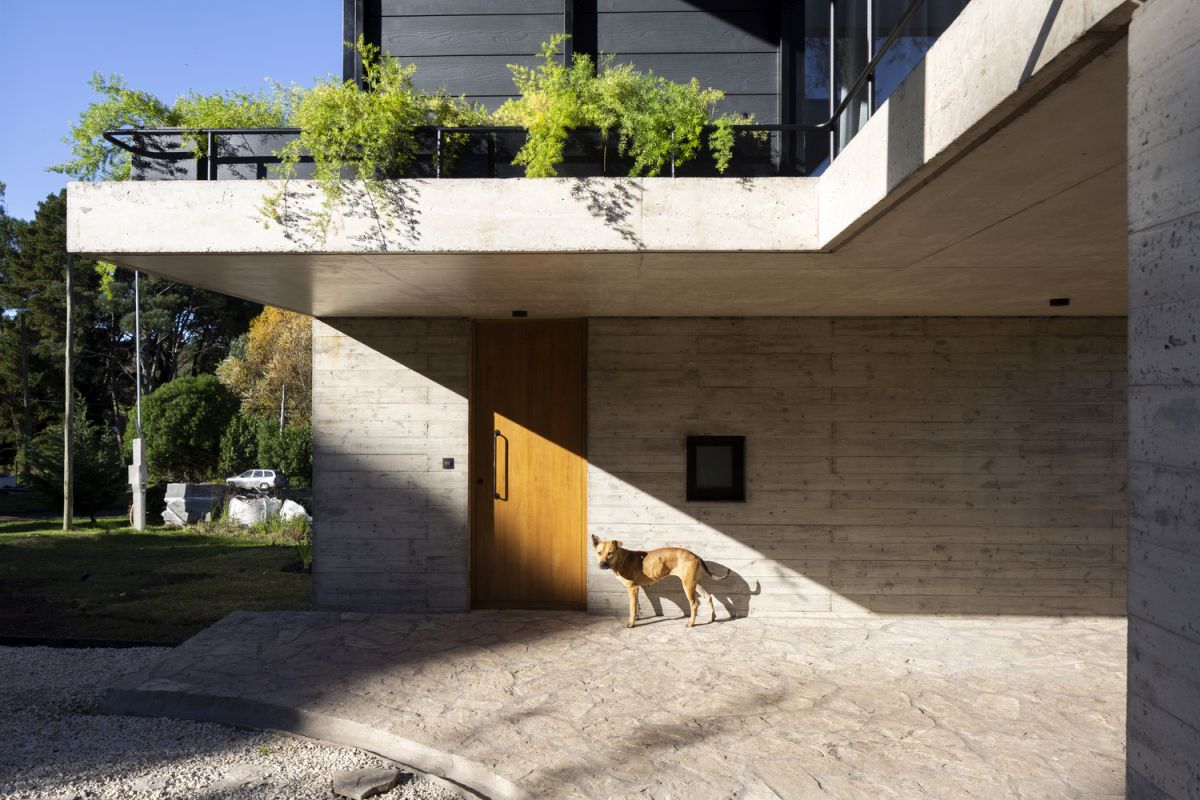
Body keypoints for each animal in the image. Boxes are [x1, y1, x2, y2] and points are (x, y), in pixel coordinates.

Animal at [592, 534, 729, 628]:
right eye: (599, 553)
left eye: (610, 553)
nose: (602, 565)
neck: (621, 560)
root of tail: (695, 555)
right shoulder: (636, 589)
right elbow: (636, 606)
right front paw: (636, 618)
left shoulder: (632, 588)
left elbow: (631, 607)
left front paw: (631, 623)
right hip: (695, 583)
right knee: (708, 596)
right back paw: (711, 617)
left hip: (688, 584)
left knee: (694, 604)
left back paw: (691, 623)